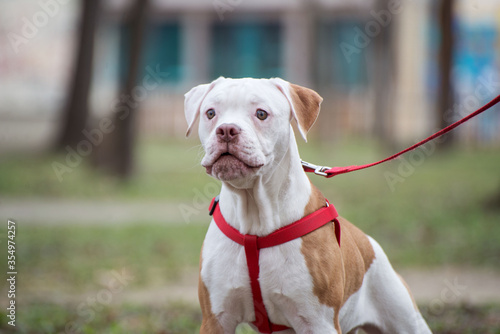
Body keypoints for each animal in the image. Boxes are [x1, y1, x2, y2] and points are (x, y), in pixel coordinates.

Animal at [184, 77, 430, 332]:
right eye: (210, 113)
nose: (226, 130)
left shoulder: (319, 322)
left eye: (261, 114)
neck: (255, 215)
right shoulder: (216, 319)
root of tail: (370, 243)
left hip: (406, 319)